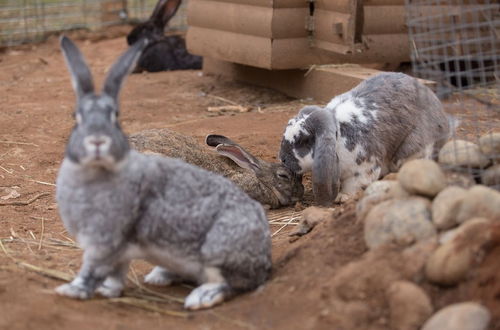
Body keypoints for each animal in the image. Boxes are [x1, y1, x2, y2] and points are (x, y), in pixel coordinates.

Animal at [54, 36, 272, 310]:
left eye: (116, 116)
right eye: (76, 117)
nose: (97, 141)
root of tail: (266, 258)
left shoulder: (106, 240)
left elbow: (93, 269)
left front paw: (71, 290)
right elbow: (115, 272)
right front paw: (108, 290)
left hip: (216, 248)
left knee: (230, 282)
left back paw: (199, 298)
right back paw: (159, 277)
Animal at [280, 73, 456, 205]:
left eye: (302, 140)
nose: (282, 158)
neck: (339, 137)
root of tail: (444, 122)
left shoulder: (362, 169)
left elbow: (353, 185)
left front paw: (342, 197)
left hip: (415, 149)